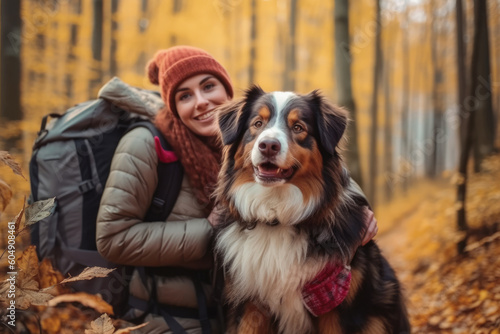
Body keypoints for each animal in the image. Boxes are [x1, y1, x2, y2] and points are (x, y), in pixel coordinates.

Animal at [213, 87, 412, 334]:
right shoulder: (250, 304)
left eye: (298, 127)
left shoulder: (340, 309)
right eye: (257, 123)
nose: (268, 145)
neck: (276, 216)